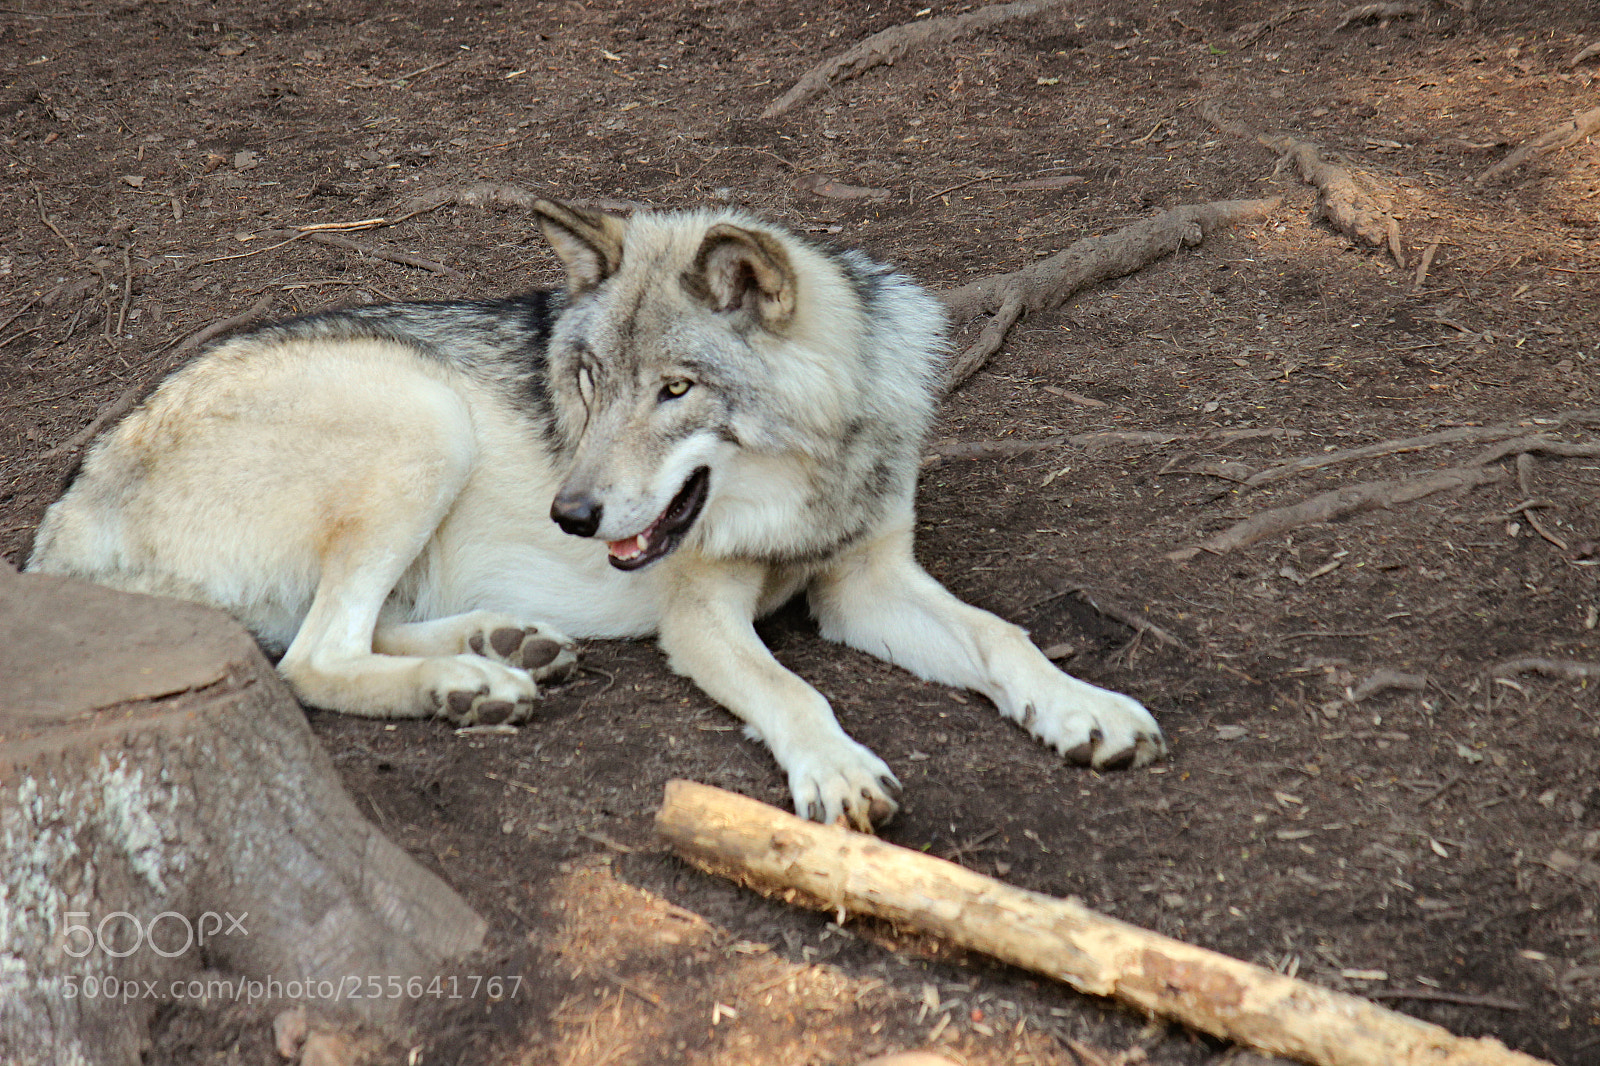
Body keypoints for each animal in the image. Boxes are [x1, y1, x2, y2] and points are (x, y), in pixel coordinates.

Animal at [27, 200, 1166, 828]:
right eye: (587, 381)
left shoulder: (869, 582)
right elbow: (794, 691)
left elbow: (1005, 636)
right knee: (312, 657)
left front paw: (1084, 707)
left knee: (348, 631)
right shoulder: (702, 616)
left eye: (674, 391)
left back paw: (505, 646)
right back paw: (471, 682)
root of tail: (68, 511)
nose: (570, 512)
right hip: (420, 411)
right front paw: (837, 771)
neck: (804, 475)